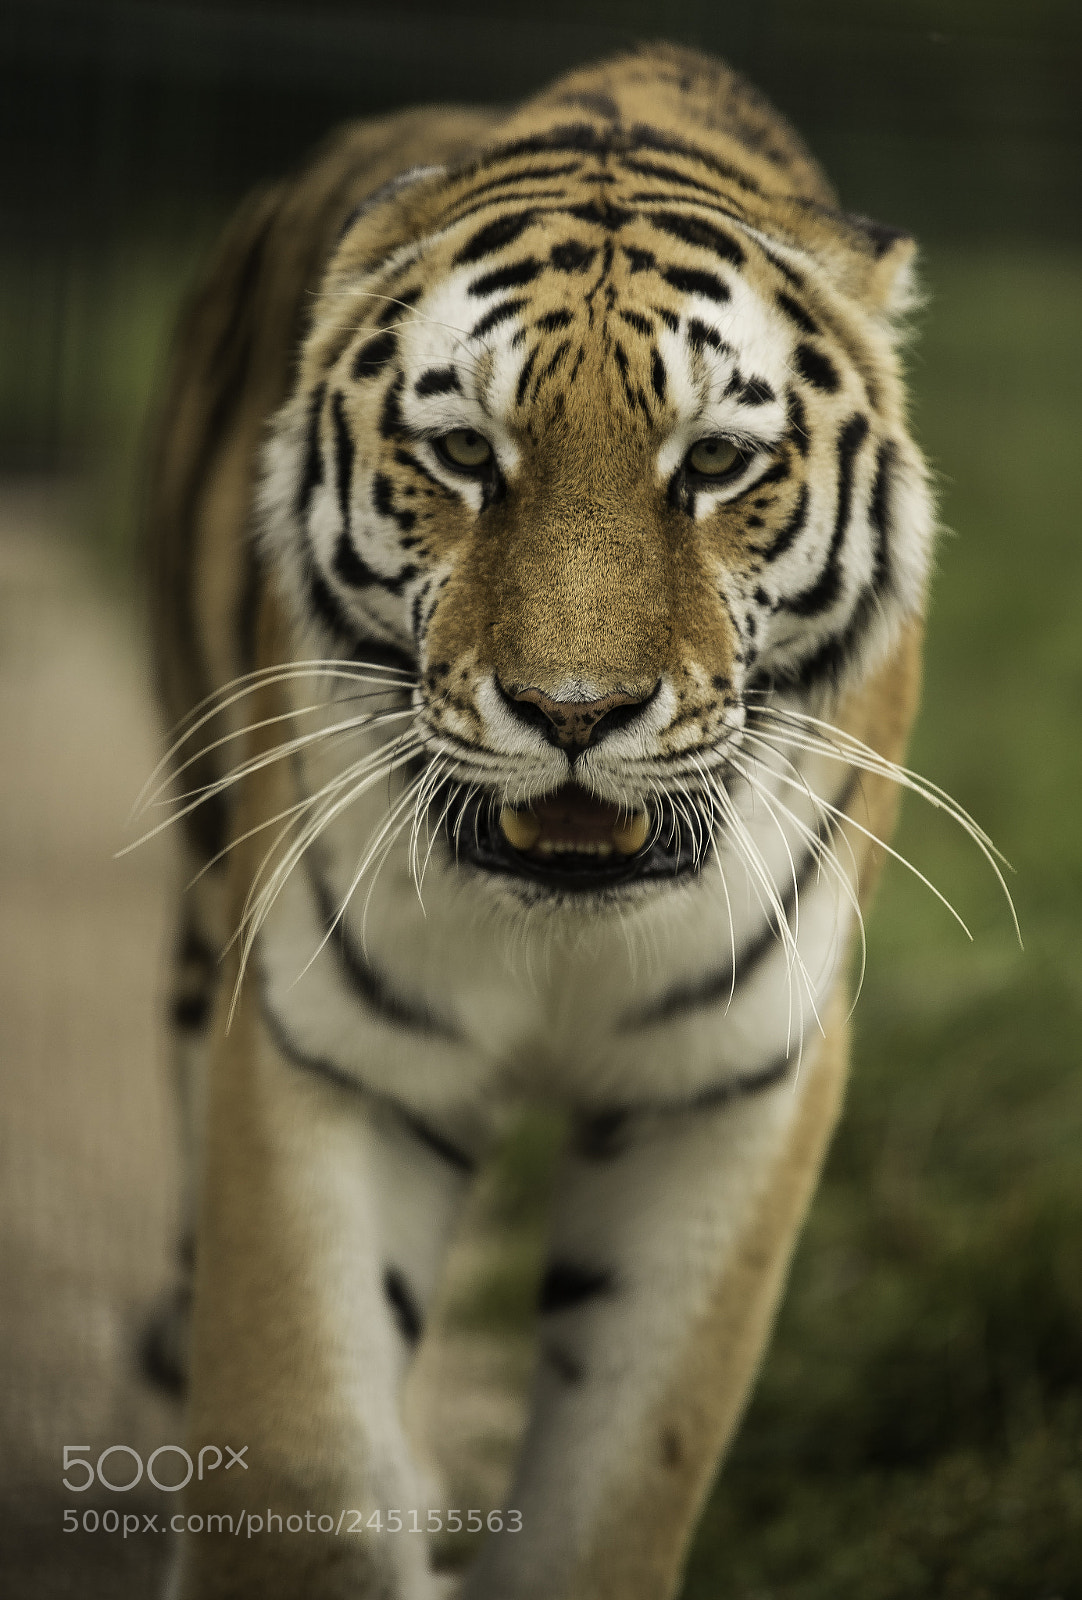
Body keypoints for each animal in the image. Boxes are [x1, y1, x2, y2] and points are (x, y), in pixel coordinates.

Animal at [140, 40, 947, 1600]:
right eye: (463, 453)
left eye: (714, 465)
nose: (574, 713)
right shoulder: (326, 1046)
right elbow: (301, 1449)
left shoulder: (731, 1084)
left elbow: (628, 1468)